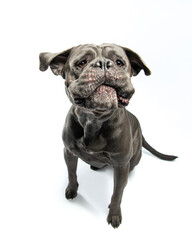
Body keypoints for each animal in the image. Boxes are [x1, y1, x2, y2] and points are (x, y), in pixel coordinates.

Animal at [39, 43, 177, 229]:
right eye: (82, 63)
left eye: (119, 62)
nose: (104, 63)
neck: (94, 119)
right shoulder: (68, 152)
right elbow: (71, 174)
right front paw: (72, 189)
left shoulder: (120, 165)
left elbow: (117, 193)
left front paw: (114, 214)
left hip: (132, 161)